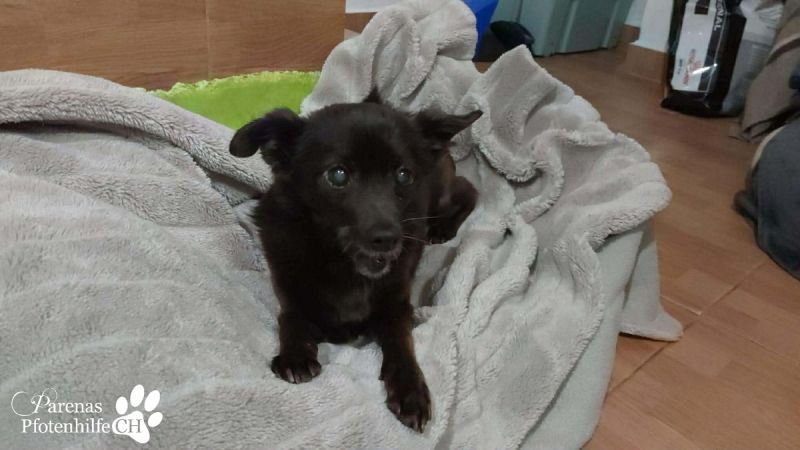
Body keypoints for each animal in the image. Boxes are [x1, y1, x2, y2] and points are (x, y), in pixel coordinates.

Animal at [229, 91, 480, 432]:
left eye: (404, 175)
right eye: (337, 175)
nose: (388, 238)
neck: (345, 266)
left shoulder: (398, 305)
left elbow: (402, 342)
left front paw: (411, 390)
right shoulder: (289, 291)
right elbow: (290, 318)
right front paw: (294, 354)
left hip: (439, 192)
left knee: (470, 190)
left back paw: (442, 228)